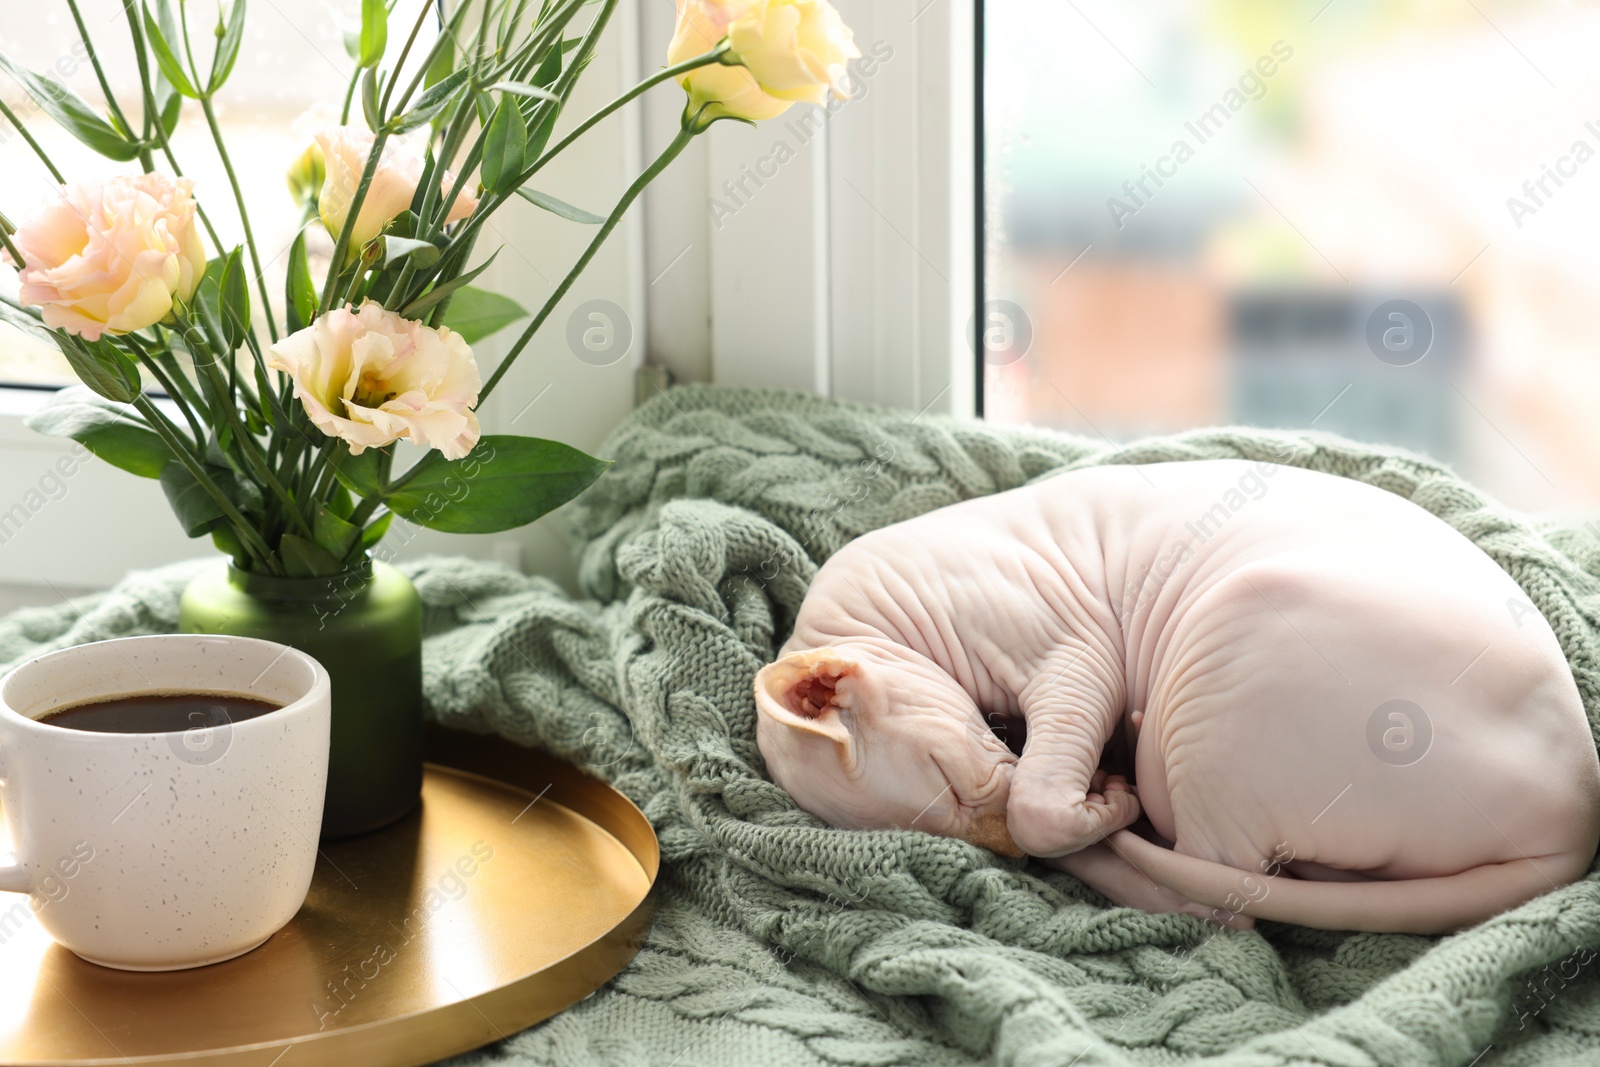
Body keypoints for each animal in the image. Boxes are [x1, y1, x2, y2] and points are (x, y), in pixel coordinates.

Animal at [755, 460, 1600, 934]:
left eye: (946, 780)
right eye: (949, 825)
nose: (1009, 855)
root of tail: (1570, 823)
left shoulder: (1068, 643)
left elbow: (1037, 803)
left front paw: (1087, 803)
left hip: (1222, 653)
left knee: (1225, 902)